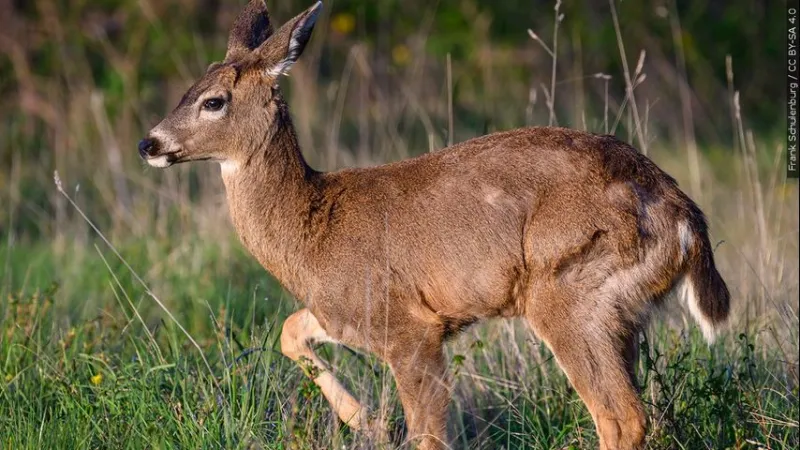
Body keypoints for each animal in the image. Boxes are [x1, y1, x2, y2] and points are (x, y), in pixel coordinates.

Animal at [137, 1, 730, 449]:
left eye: (214, 101)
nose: (149, 143)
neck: (311, 226)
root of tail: (684, 217)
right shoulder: (348, 311)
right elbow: (288, 330)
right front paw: (370, 422)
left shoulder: (410, 327)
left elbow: (429, 435)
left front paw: (377, 423)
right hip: (620, 312)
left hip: (571, 289)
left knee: (620, 417)